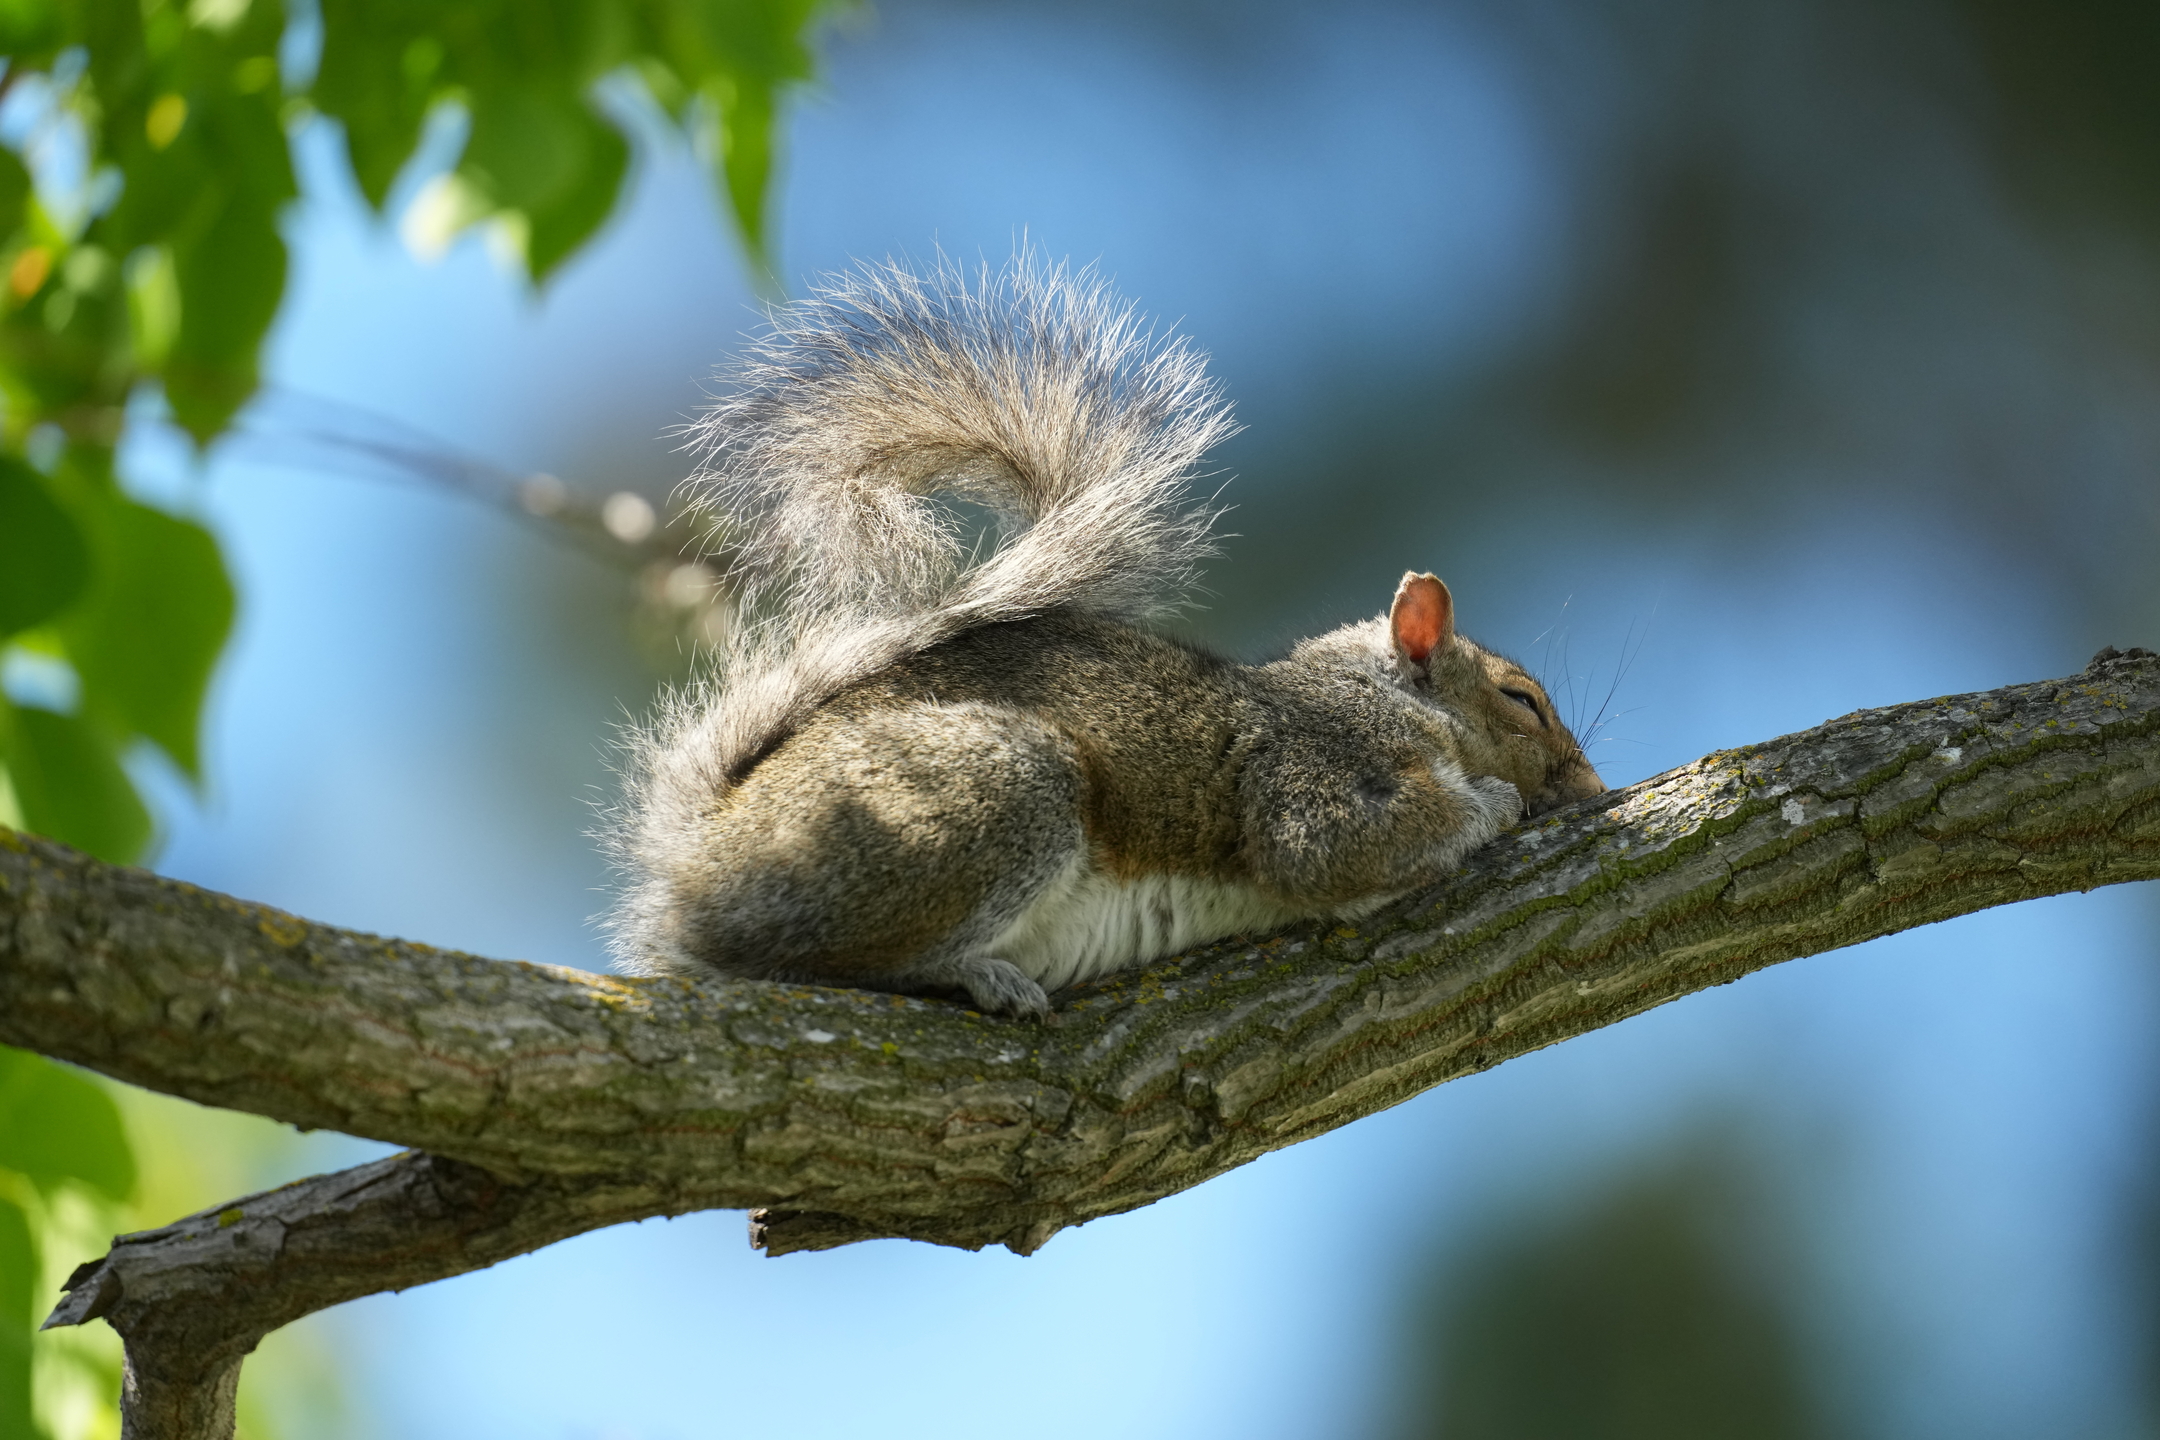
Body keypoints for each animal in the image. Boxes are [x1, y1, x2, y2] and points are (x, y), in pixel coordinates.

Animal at [606, 257, 1606, 1018]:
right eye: (1522, 700)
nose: (1596, 788)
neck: (1370, 693)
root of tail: (696, 870)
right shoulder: (1312, 768)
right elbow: (1334, 841)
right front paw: (1493, 803)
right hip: (983, 792)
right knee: (832, 963)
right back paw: (975, 974)